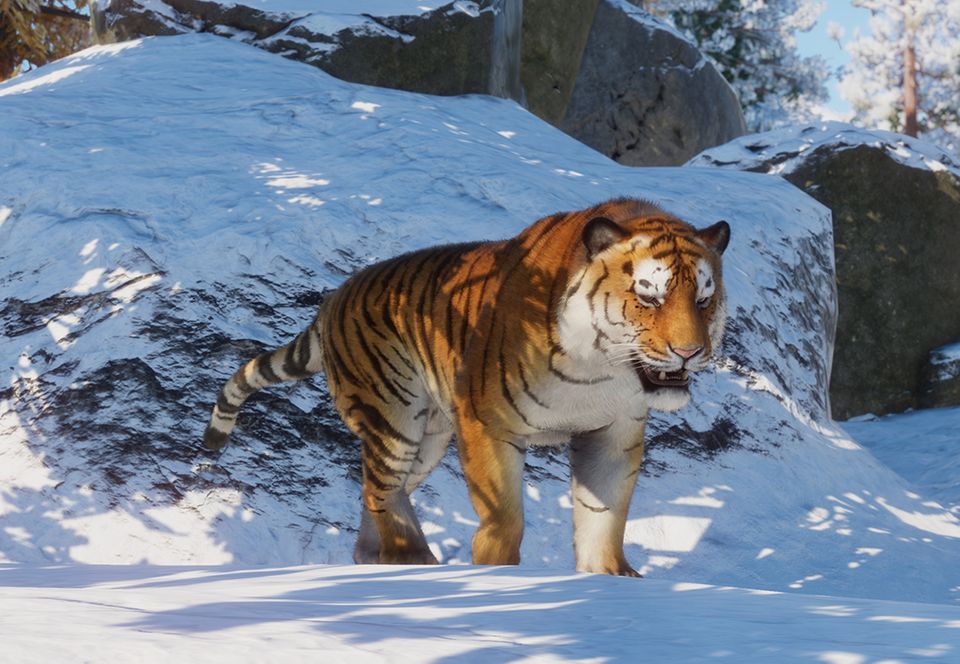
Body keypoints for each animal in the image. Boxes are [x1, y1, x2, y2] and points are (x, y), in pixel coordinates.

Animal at [202, 197, 728, 576]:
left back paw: (381, 560)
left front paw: (611, 580)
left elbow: (604, 519)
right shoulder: (487, 421)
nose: (690, 352)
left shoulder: (614, 434)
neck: (600, 370)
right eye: (649, 296)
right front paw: (494, 577)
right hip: (395, 419)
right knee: (379, 490)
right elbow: (504, 518)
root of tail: (334, 298)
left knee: (375, 491)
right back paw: (408, 559)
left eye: (704, 299)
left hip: (429, 438)